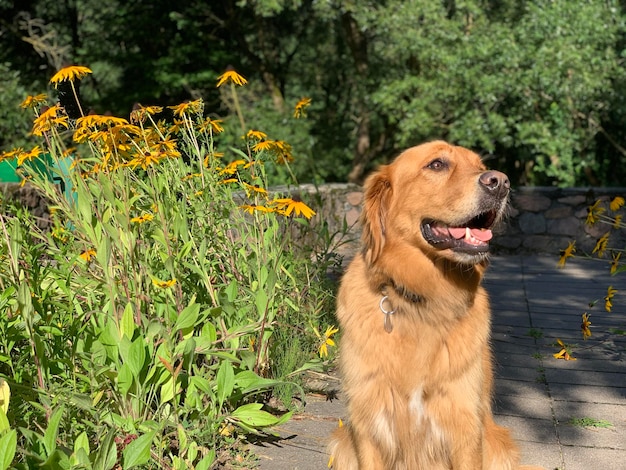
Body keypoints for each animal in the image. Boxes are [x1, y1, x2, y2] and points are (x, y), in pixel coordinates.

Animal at [326, 141, 540, 468]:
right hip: (341, 444)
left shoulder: (464, 422)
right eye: (436, 164)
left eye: (479, 166)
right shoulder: (367, 422)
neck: (422, 298)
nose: (501, 182)